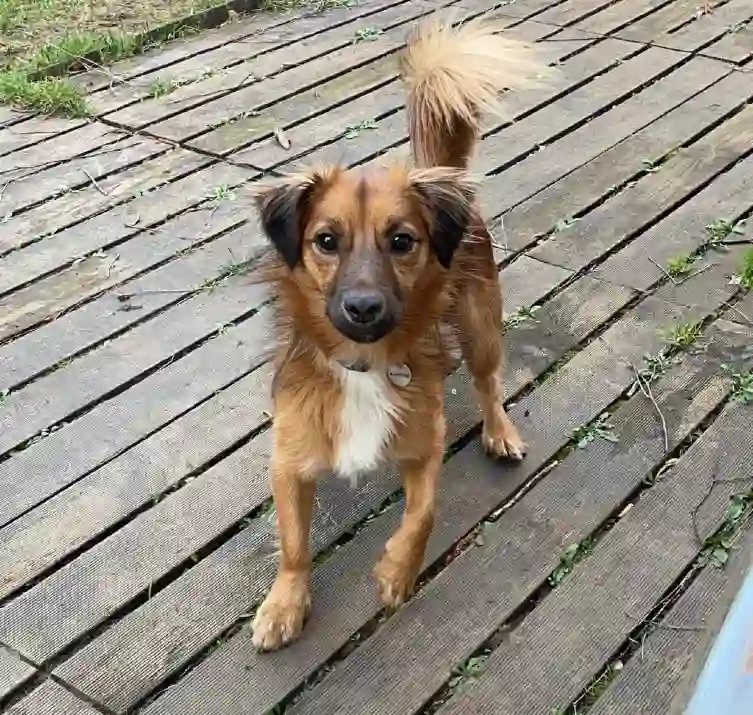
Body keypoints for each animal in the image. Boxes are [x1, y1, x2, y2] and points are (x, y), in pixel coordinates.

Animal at [249, 15, 552, 652]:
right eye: (326, 241)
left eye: (402, 241)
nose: (364, 307)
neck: (361, 363)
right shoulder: (289, 459)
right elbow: (293, 543)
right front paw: (285, 603)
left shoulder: (422, 444)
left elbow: (424, 514)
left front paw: (396, 571)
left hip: (482, 325)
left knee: (488, 382)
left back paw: (500, 431)